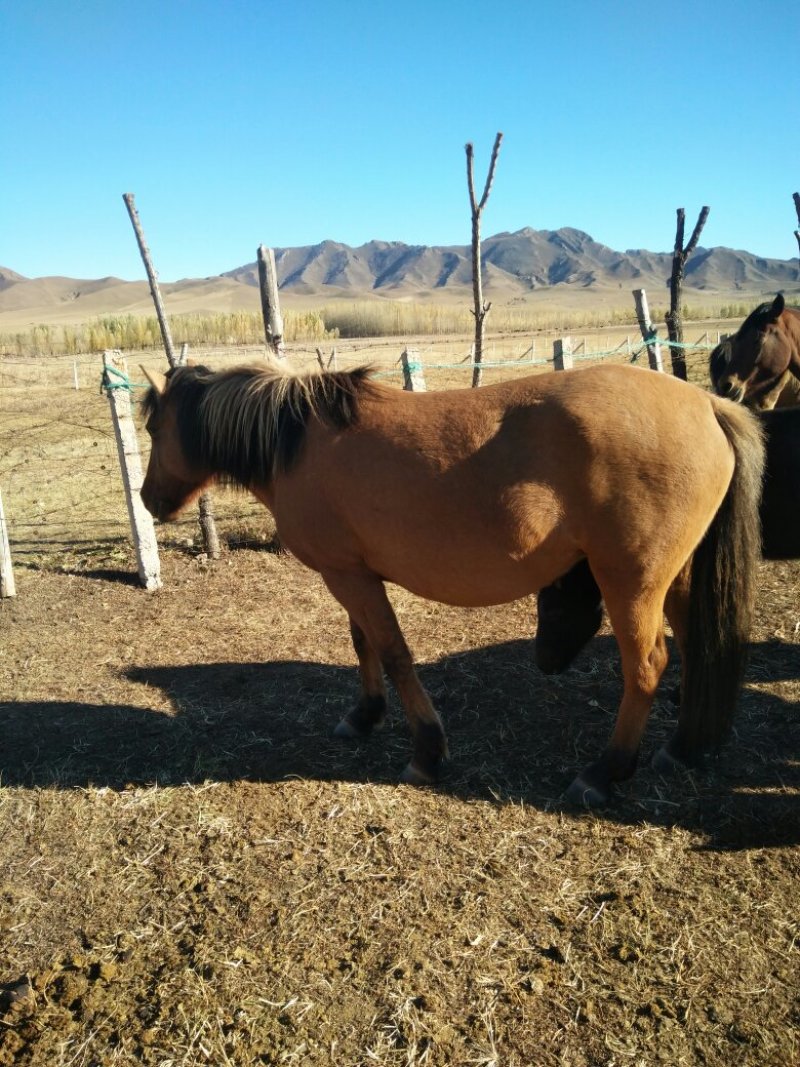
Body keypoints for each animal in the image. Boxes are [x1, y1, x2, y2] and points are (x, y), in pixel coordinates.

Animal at [140, 360, 764, 807]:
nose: (148, 501)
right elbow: (363, 645)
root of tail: (707, 403)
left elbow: (394, 654)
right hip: (672, 580)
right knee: (696, 647)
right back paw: (682, 747)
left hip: (631, 584)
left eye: (151, 426)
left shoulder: (348, 576)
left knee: (648, 667)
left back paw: (605, 772)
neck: (299, 442)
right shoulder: (352, 572)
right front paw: (364, 716)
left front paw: (427, 750)